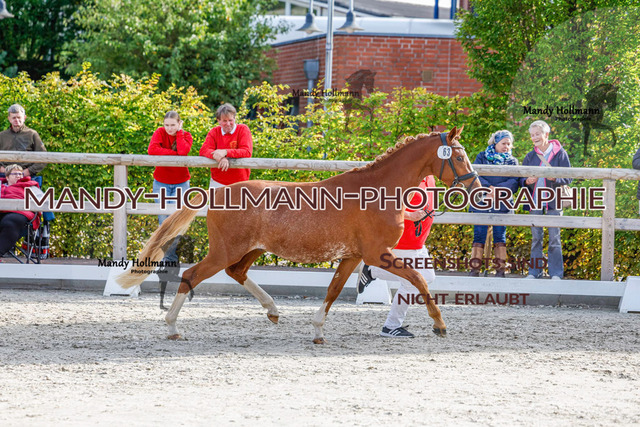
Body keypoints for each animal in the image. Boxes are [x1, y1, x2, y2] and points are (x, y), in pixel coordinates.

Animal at [117, 127, 481, 343]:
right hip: (226, 249)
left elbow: (334, 291)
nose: (475, 187)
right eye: (459, 156)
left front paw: (318, 330)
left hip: (250, 249)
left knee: (237, 273)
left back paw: (273, 311)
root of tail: (219, 193)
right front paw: (440, 325)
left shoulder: (353, 256)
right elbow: (418, 280)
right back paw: (172, 327)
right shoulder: (377, 253)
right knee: (192, 275)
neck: (377, 191)